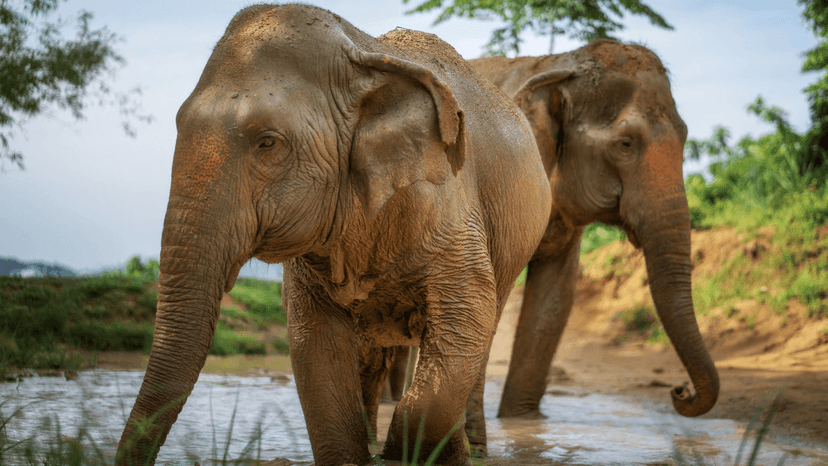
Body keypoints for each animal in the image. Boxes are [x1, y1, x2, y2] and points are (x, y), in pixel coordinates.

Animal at [114, 4, 551, 466]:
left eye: (268, 143)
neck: (362, 55)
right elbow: (315, 343)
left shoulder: (445, 194)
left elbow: (467, 315)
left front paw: (396, 456)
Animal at [465, 40, 720, 419]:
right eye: (625, 143)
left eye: (686, 135)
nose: (679, 391)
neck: (559, 65)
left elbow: (556, 295)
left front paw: (524, 423)